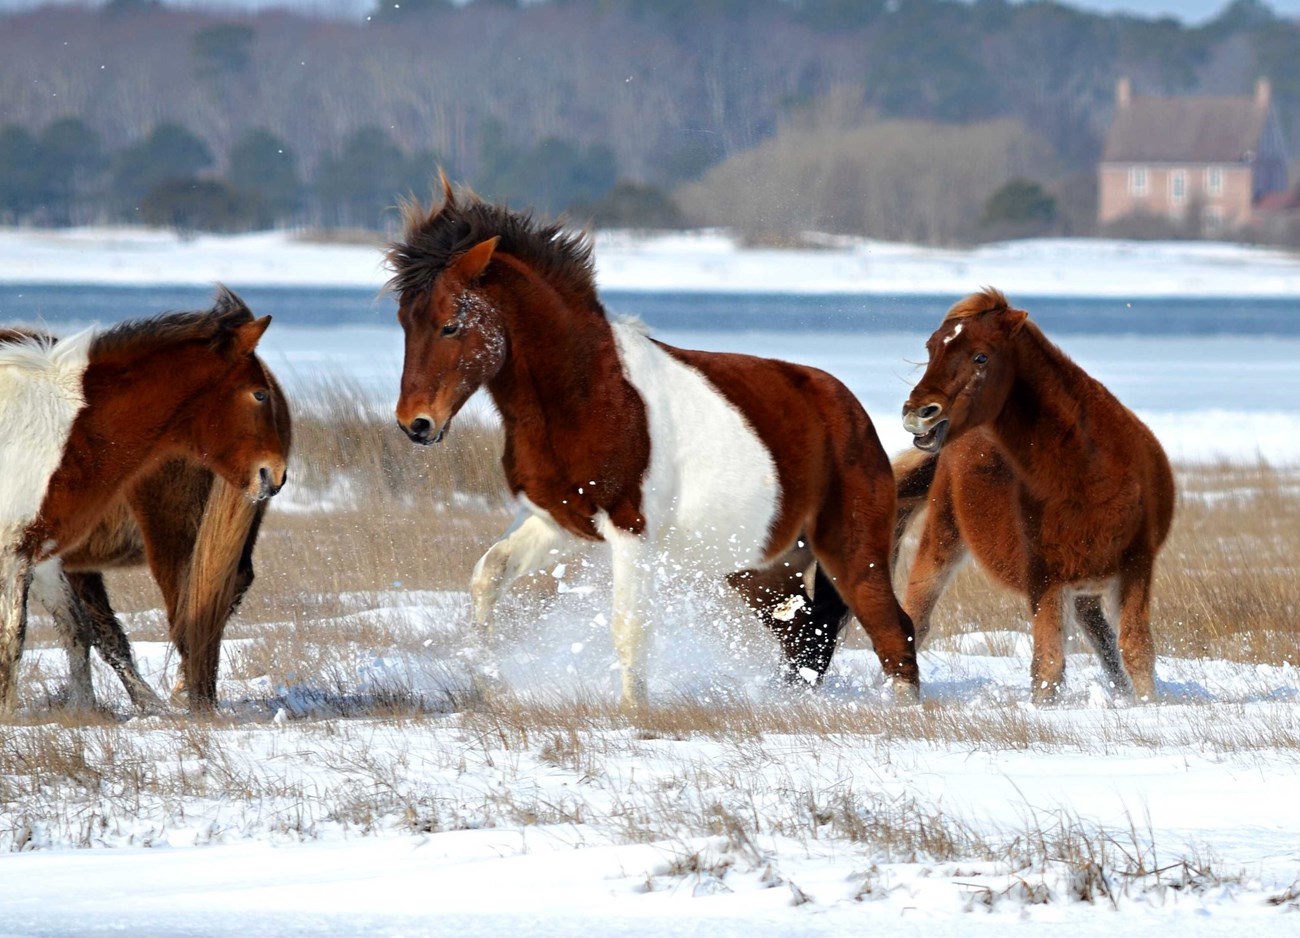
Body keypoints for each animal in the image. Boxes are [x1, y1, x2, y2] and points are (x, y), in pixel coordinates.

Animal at [0, 288, 289, 711]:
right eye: (259, 393)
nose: (275, 474)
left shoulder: (37, 549)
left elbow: (73, 629)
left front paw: (83, 711)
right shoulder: (22, 550)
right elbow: (20, 639)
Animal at [899, 288, 1175, 696]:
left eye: (981, 356)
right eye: (932, 348)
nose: (917, 413)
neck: (1088, 472)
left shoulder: (1136, 565)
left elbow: (1136, 649)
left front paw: (1146, 703)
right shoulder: (1045, 578)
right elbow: (1047, 666)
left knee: (1100, 633)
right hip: (944, 536)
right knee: (916, 616)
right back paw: (903, 698)